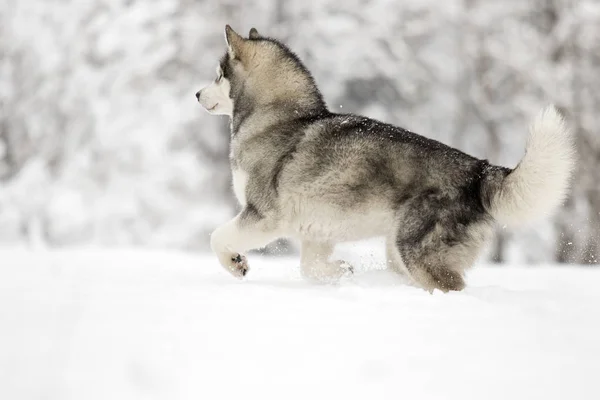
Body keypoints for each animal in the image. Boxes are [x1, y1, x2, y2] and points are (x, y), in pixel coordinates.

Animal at [195, 26, 576, 292]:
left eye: (218, 74)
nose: (197, 93)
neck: (279, 117)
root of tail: (478, 170)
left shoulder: (263, 217)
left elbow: (216, 236)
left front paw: (235, 263)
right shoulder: (315, 231)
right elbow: (310, 267)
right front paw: (342, 272)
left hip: (416, 252)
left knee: (450, 287)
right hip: (398, 251)